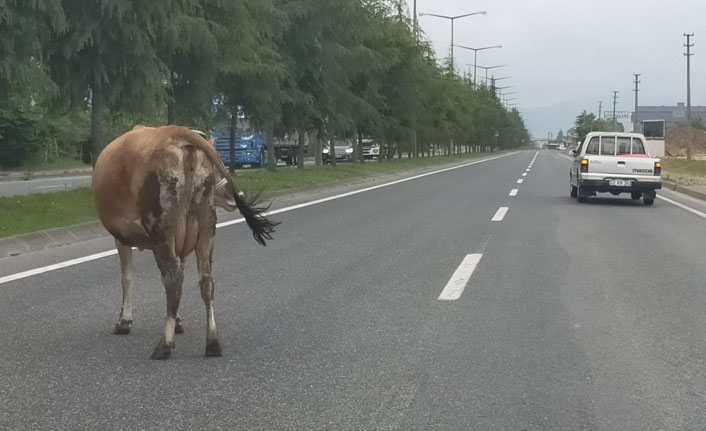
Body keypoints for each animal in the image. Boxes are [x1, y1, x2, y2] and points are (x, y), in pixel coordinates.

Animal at [88, 125, 276, 362]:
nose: (234, 195)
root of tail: (178, 131)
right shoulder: (182, 243)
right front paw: (177, 321)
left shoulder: (122, 237)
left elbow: (127, 277)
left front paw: (124, 321)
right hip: (206, 227)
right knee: (205, 281)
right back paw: (212, 342)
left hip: (162, 226)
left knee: (174, 279)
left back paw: (164, 346)